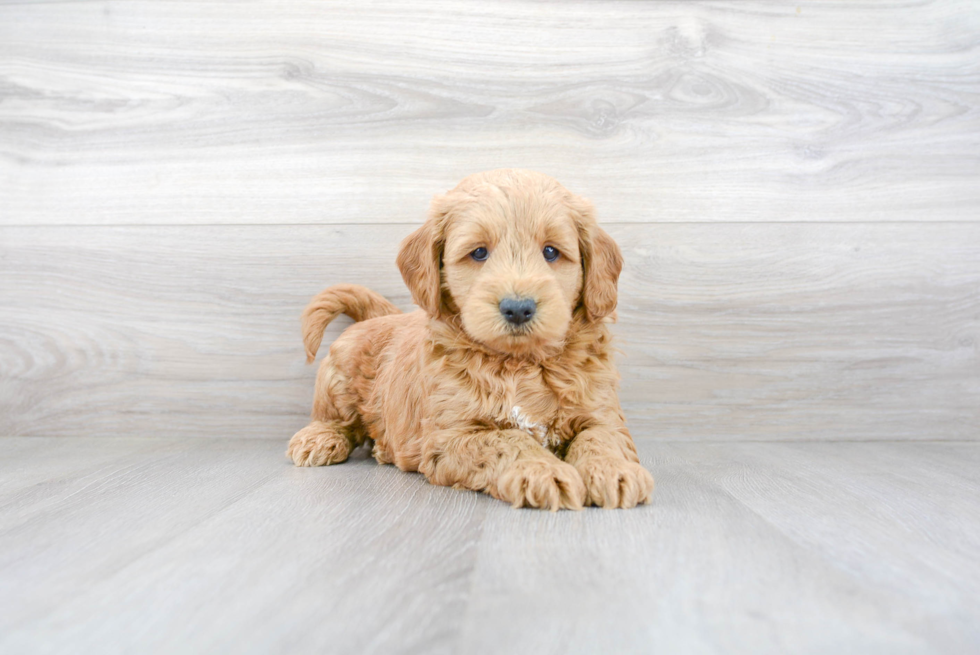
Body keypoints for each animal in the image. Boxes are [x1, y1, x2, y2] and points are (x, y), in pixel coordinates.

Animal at [290, 170, 660, 512]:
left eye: (551, 252)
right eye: (479, 253)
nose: (518, 308)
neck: (521, 362)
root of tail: (379, 316)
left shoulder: (602, 410)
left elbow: (602, 437)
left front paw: (613, 471)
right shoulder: (452, 435)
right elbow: (508, 440)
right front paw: (541, 472)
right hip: (337, 380)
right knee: (335, 418)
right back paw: (319, 439)